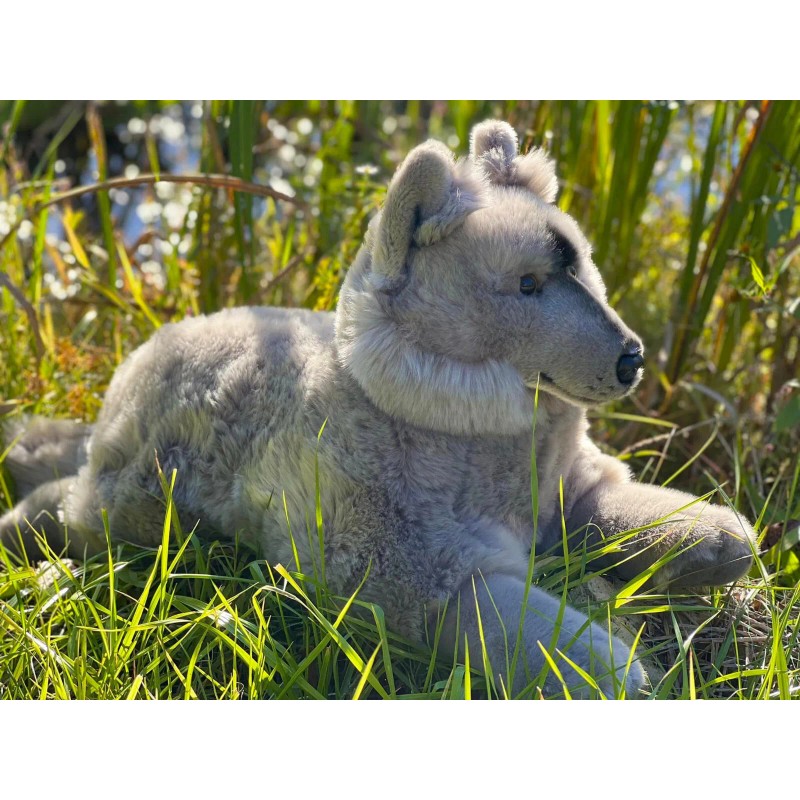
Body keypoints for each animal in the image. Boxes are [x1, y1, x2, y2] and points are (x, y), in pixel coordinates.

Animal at [0, 120, 757, 697]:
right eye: (526, 285)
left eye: (584, 266)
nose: (631, 359)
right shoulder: (403, 570)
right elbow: (514, 623)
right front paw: (615, 670)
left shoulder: (567, 490)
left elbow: (625, 515)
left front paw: (715, 539)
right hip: (130, 502)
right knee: (65, 503)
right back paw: (20, 520)